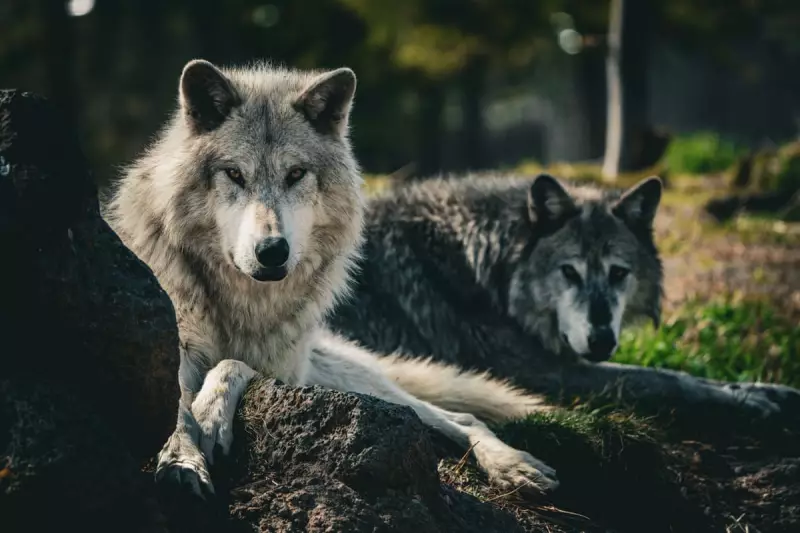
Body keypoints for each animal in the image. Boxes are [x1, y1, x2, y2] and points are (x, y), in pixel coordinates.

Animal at [105, 59, 561, 498]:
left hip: (342, 379)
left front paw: (210, 414)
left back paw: (514, 465)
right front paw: (182, 460)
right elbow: (176, 406)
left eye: (295, 174)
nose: (272, 251)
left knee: (462, 417)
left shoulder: (286, 370)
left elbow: (232, 364)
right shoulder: (173, 347)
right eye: (234, 174)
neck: (244, 304)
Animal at [327, 174, 800, 419]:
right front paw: (747, 399)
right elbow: (665, 377)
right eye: (569, 272)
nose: (601, 340)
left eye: (618, 273)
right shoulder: (546, 372)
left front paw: (769, 389)